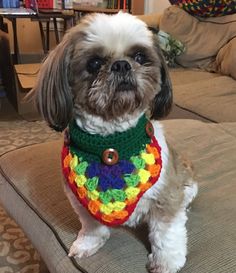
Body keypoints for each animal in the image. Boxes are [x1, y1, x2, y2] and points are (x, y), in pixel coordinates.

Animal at [33, 11, 199, 270]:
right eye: (94, 63)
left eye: (140, 56)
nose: (122, 64)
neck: (113, 140)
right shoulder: (80, 200)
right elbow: (92, 226)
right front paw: (87, 244)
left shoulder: (166, 196)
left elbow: (166, 234)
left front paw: (167, 262)